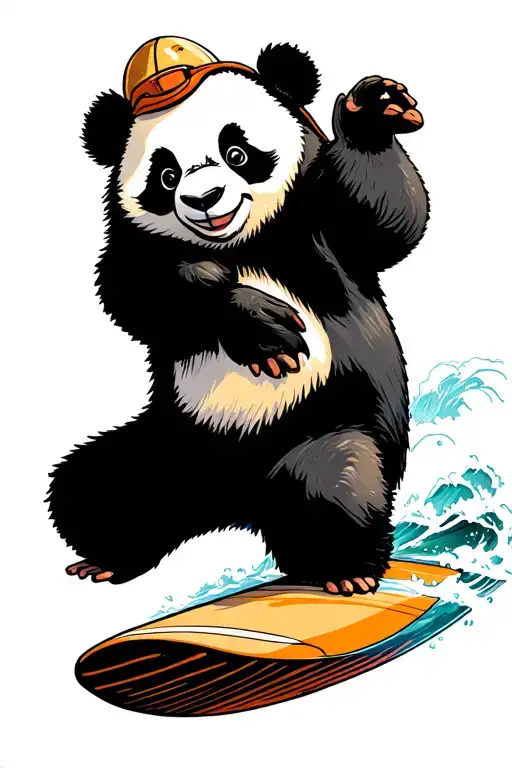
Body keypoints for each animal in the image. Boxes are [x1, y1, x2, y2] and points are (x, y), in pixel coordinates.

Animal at [48, 38, 429, 596]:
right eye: (166, 174)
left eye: (237, 152)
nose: (204, 199)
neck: (238, 242)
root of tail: (235, 505)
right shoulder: (138, 245)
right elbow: (135, 291)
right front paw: (262, 329)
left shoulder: (318, 224)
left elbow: (384, 223)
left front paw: (373, 112)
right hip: (170, 443)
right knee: (102, 486)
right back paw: (108, 557)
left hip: (322, 424)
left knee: (335, 481)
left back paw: (343, 570)